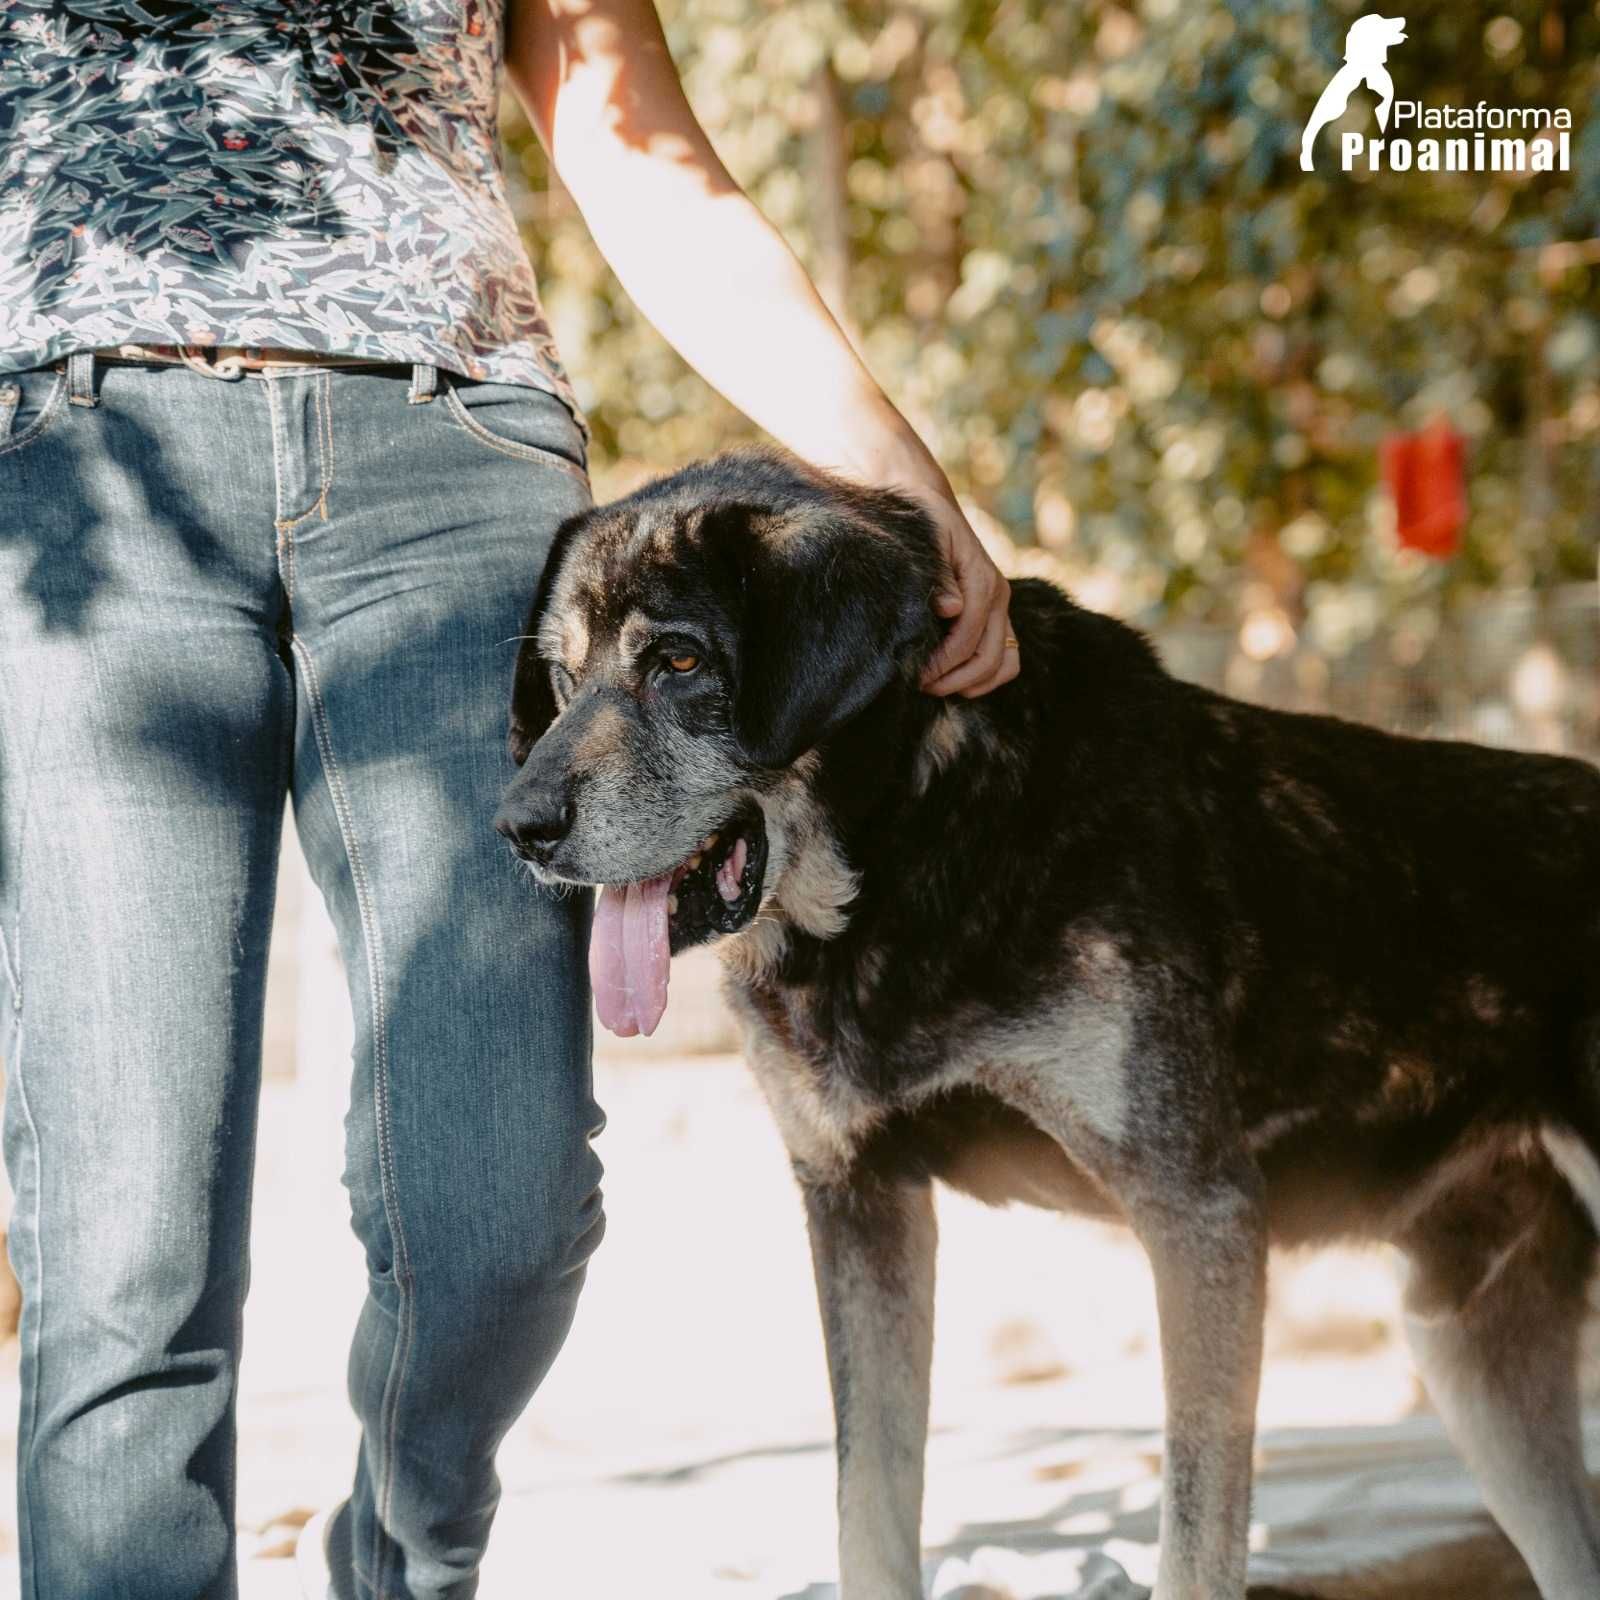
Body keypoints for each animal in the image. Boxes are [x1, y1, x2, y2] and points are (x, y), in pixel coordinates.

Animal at [496, 451, 1600, 1600]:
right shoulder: (859, 1203)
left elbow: (1191, 1542)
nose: (517, 827)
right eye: (562, 679)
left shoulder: (1198, 1212)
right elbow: (868, 1515)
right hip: (1474, 1365)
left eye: (677, 659)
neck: (913, 847)